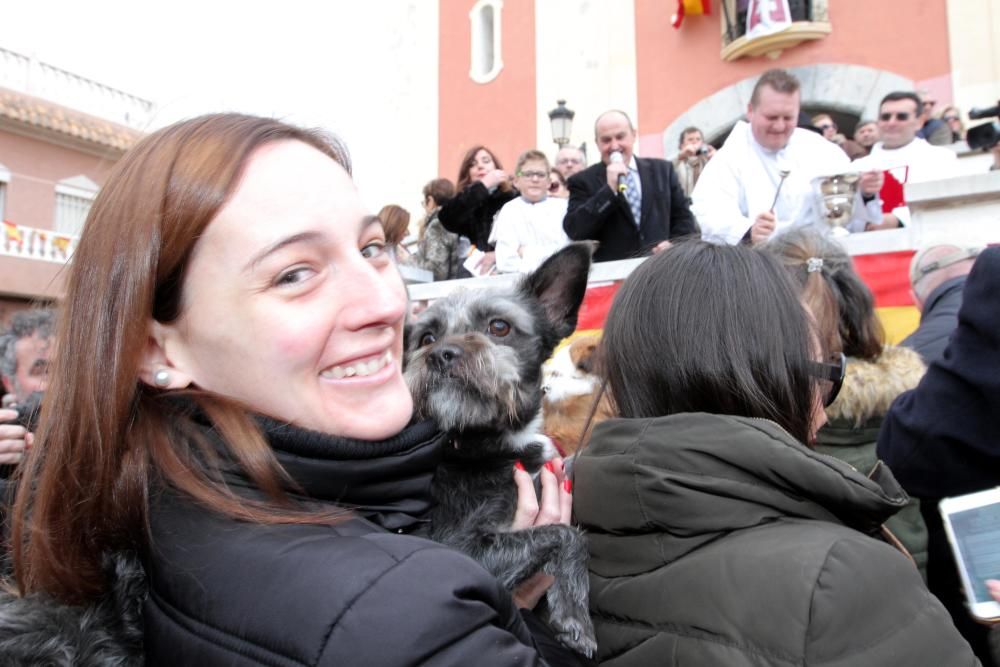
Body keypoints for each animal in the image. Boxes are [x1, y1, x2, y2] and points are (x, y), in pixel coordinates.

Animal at [404, 241, 596, 656]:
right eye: (426, 338)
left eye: (499, 327)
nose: (439, 355)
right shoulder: (459, 550)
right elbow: (565, 533)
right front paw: (575, 616)